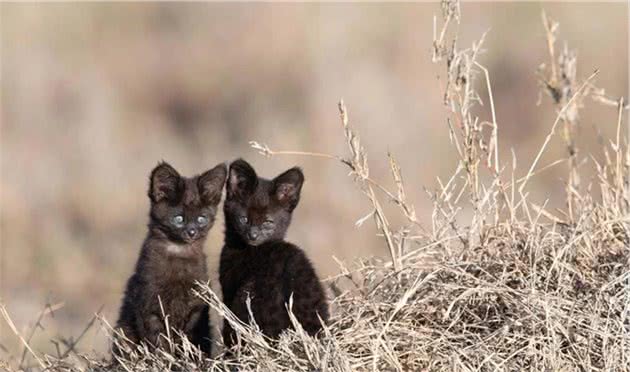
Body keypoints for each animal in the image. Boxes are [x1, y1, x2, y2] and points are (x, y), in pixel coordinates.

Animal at [115, 161, 228, 356]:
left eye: (201, 219)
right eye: (179, 218)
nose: (191, 232)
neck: (179, 252)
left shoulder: (197, 306)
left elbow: (189, 336)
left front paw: (189, 358)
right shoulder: (149, 304)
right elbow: (157, 337)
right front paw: (165, 357)